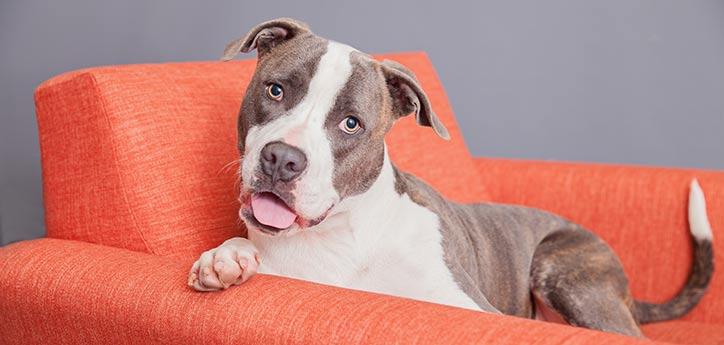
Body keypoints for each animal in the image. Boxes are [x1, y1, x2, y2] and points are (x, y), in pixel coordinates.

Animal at [189, 17, 716, 334]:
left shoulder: (467, 307)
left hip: (564, 271)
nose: (282, 159)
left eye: (351, 123)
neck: (341, 238)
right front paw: (226, 258)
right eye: (275, 90)